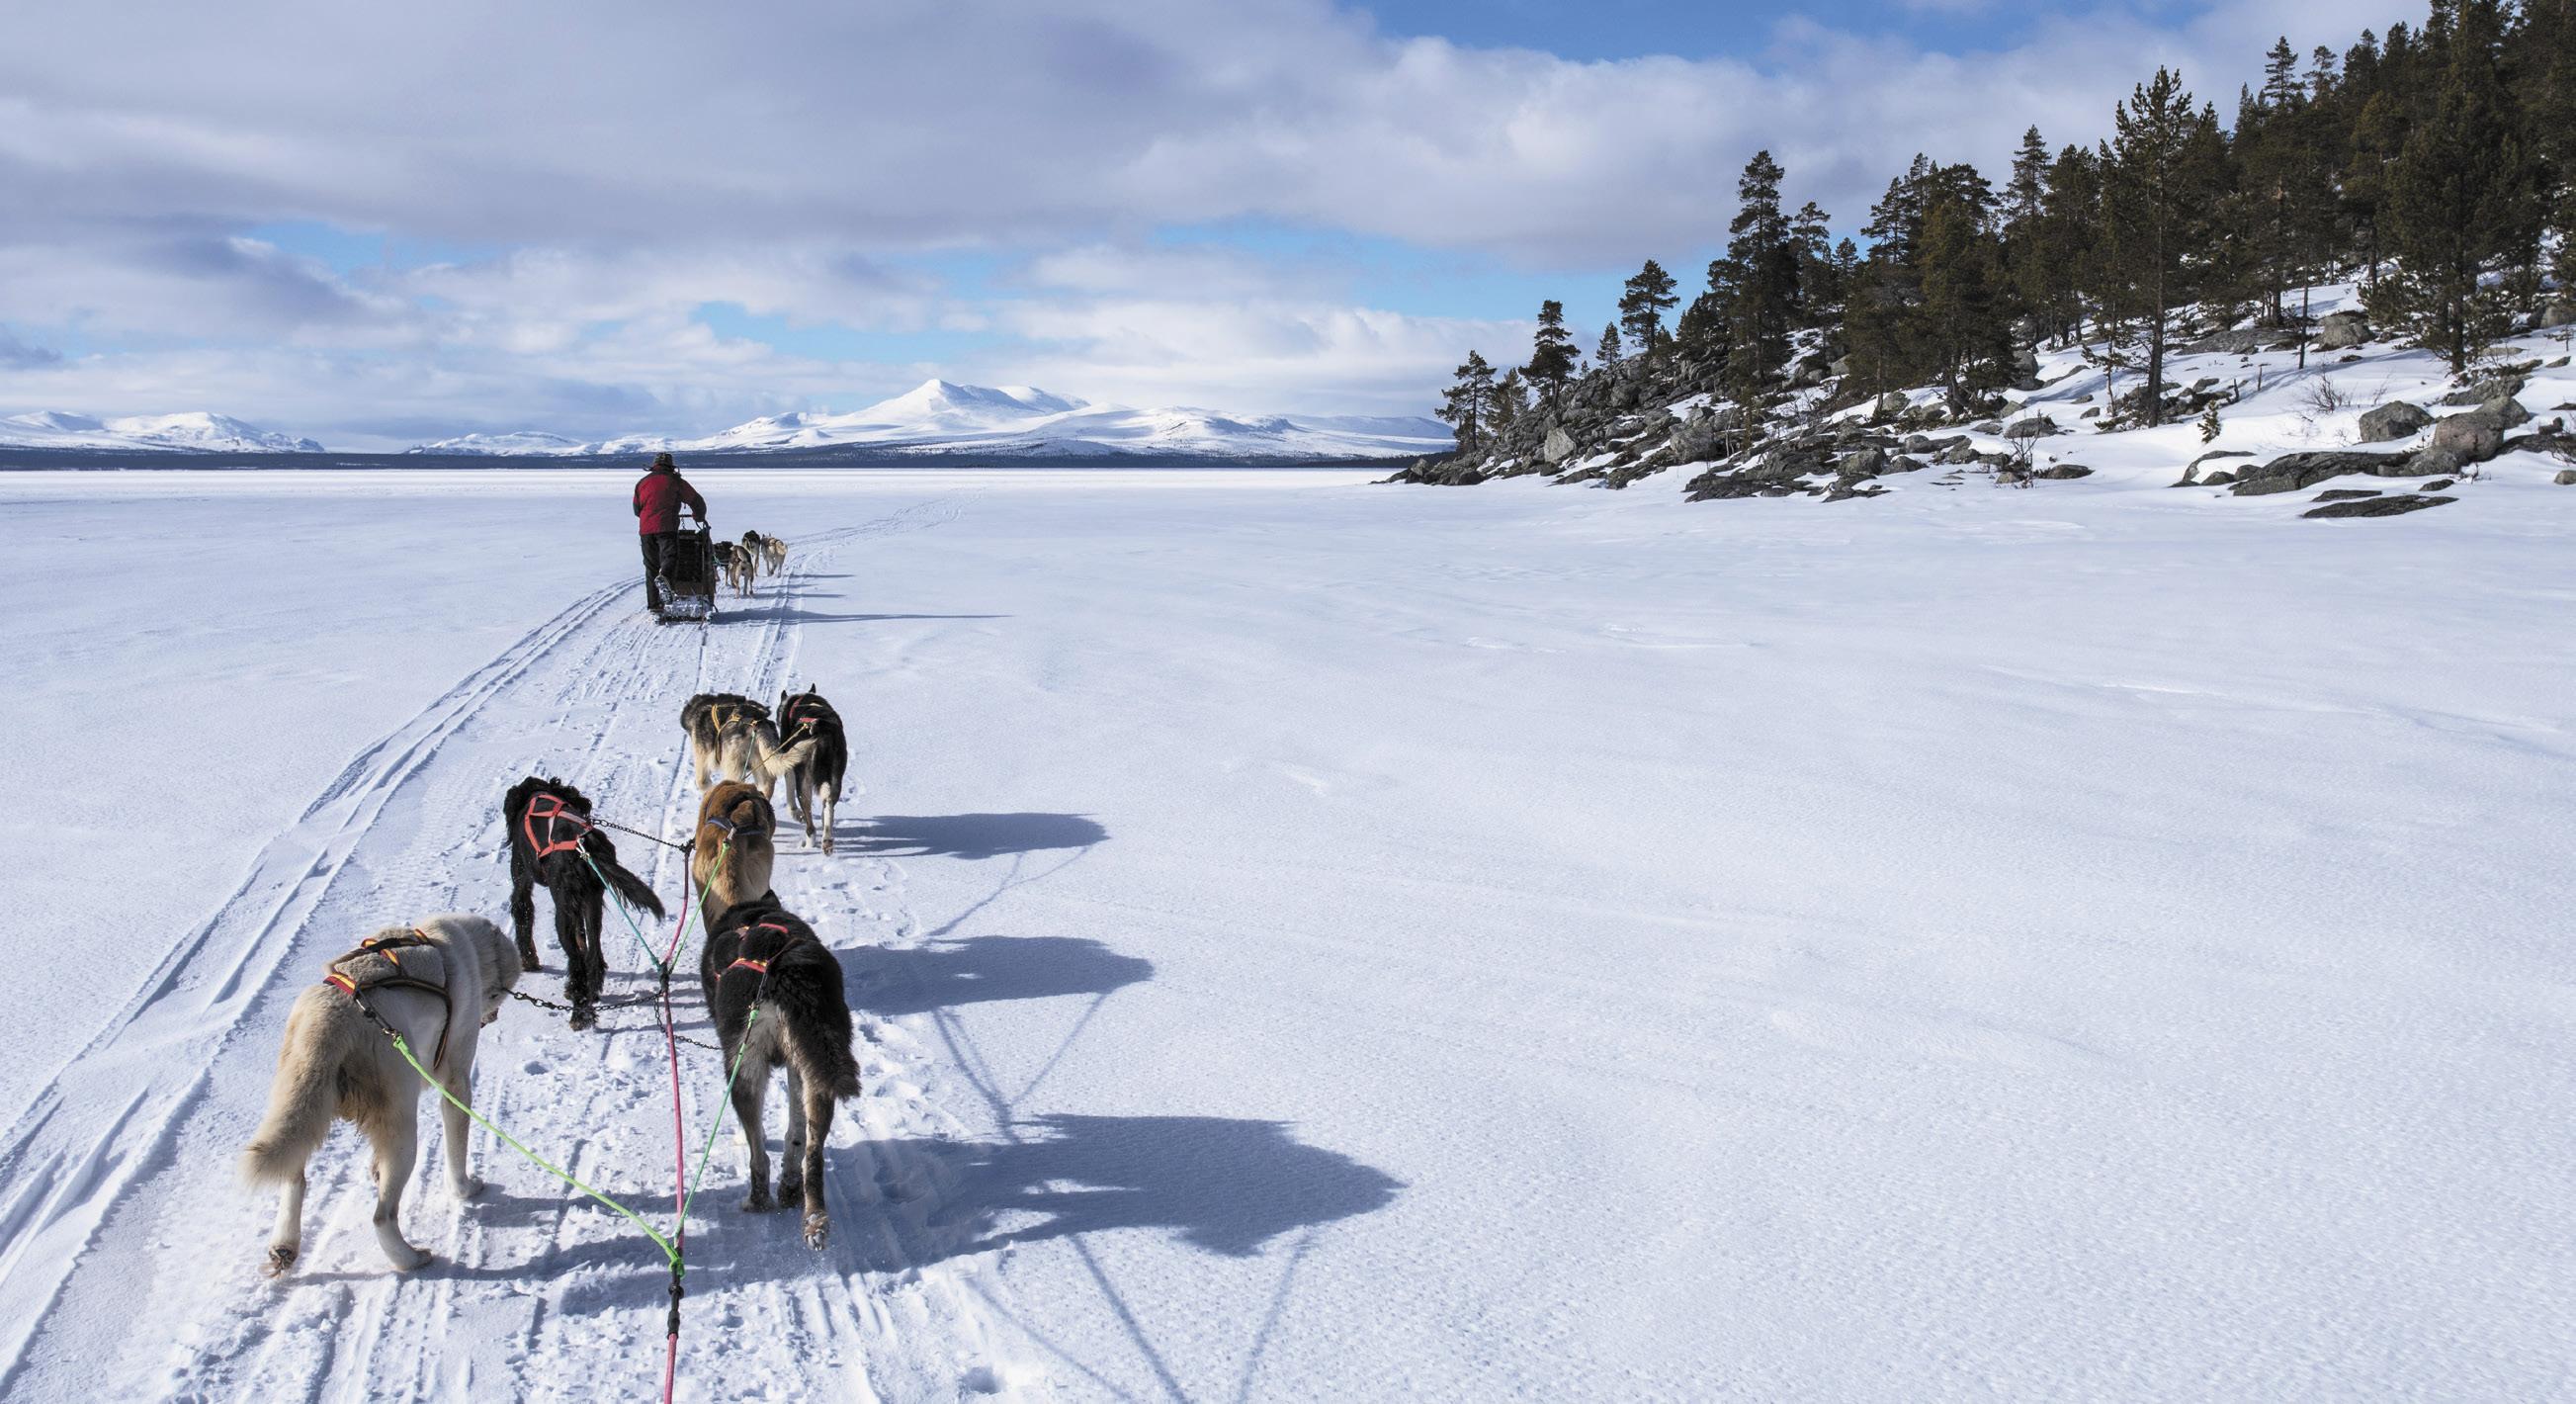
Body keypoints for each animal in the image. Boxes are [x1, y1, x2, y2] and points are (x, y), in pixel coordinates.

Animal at [241, 914, 522, 1276]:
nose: (494, 1015)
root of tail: (332, 1017)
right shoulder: (456, 1082)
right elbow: (456, 1152)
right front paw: (465, 1189)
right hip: (402, 1129)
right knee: (382, 1216)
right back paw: (410, 1258)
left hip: (300, 1105)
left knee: (295, 1179)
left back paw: (284, 1246)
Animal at [503, 776, 666, 1030]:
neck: (538, 793)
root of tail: (585, 846)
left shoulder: (522, 878)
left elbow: (523, 913)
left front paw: (529, 960)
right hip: (591, 901)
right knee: (593, 952)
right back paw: (591, 991)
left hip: (563, 913)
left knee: (577, 961)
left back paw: (580, 1011)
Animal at [681, 692, 816, 796]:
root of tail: (755, 726)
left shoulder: (702, 759)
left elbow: (702, 783)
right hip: (761, 763)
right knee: (766, 786)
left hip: (735, 767)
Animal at [699, 896, 859, 1247]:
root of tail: (780, 970)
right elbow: (795, 1134)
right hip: (815, 1069)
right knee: (810, 1150)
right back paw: (808, 1211)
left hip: (743, 1065)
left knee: (758, 1153)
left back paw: (758, 1200)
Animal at [774, 686, 849, 854]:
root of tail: (821, 728)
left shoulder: (789, 765)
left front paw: (795, 814)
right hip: (836, 777)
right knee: (828, 802)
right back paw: (827, 839)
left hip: (804, 782)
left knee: (809, 823)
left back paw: (809, 843)